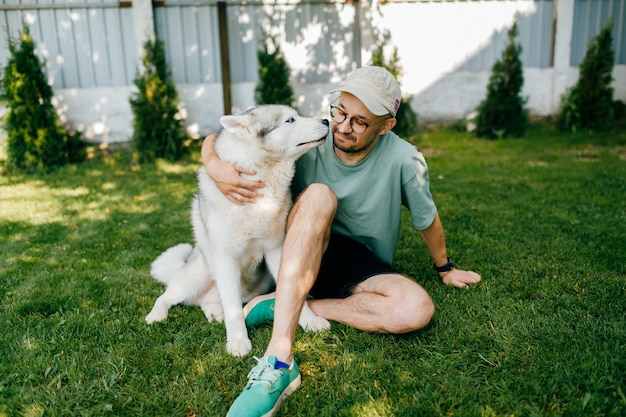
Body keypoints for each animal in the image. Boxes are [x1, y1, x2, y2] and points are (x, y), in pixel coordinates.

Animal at [145, 105, 332, 356]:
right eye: (290, 120)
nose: (326, 121)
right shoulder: (225, 260)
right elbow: (233, 309)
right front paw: (237, 340)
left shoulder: (277, 250)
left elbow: (291, 289)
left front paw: (309, 320)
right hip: (199, 273)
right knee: (167, 296)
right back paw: (157, 315)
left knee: (209, 302)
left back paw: (215, 312)